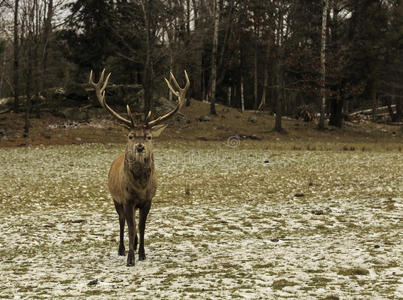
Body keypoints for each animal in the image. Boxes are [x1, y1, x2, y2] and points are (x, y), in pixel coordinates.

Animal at [89, 68, 190, 268]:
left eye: (149, 136)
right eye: (131, 136)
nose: (140, 147)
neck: (140, 187)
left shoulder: (148, 200)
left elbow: (141, 227)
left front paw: (142, 253)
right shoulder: (127, 199)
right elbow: (130, 227)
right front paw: (130, 258)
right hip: (115, 199)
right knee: (121, 222)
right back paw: (122, 249)